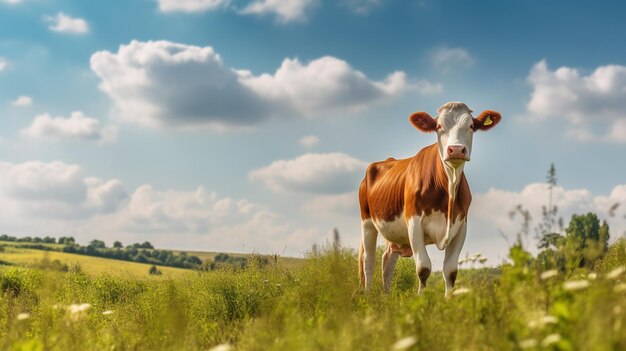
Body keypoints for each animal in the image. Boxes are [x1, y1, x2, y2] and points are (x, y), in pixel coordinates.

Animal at [358, 102, 500, 296]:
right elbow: (423, 268)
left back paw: (386, 297)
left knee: (387, 260)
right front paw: (422, 299)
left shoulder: (461, 226)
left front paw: (448, 300)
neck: (448, 187)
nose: (456, 149)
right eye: (439, 126)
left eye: (471, 126)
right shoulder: (414, 222)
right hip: (367, 222)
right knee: (368, 261)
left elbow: (450, 271)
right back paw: (367, 297)